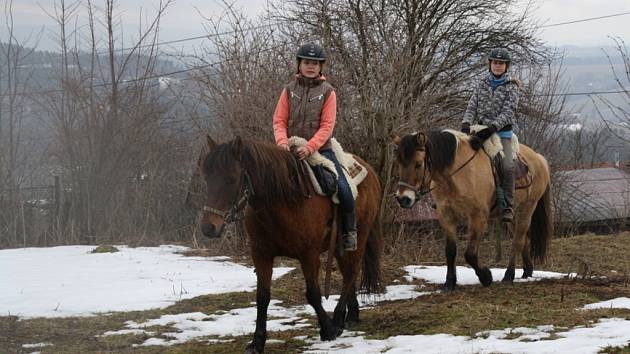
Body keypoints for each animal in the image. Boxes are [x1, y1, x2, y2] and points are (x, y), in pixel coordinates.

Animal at [200, 136, 382, 354]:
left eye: (232, 179)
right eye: (207, 178)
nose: (208, 228)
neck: (284, 200)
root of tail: (370, 171)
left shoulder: (309, 254)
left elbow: (313, 294)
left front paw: (328, 330)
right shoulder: (261, 254)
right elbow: (262, 297)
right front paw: (257, 342)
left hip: (360, 236)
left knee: (351, 272)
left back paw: (338, 319)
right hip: (340, 246)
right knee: (348, 273)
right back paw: (351, 316)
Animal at [396, 130, 552, 290]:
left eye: (418, 164)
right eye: (399, 163)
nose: (403, 199)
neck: (458, 174)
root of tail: (539, 158)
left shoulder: (478, 217)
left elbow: (470, 254)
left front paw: (486, 277)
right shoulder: (446, 216)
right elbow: (450, 250)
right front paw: (449, 282)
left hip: (527, 209)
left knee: (517, 241)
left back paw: (509, 275)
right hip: (513, 216)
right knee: (523, 239)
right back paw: (527, 271)